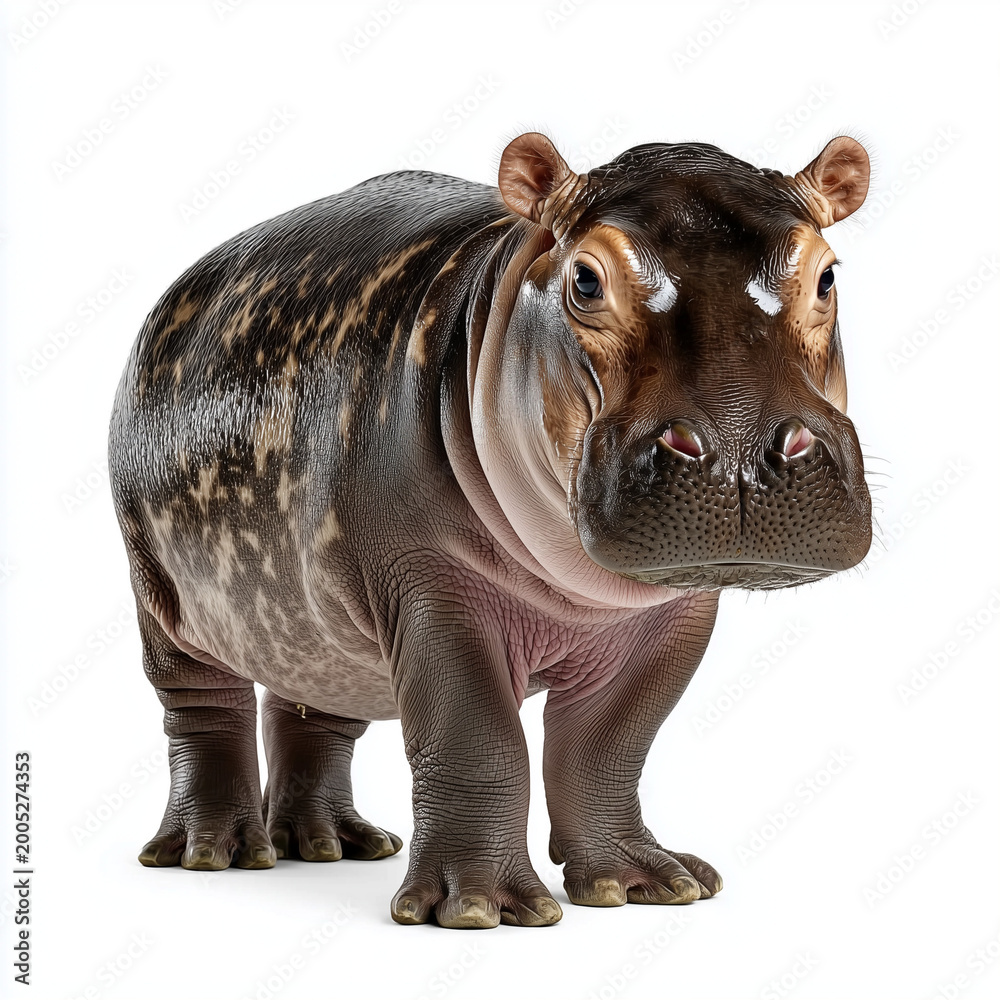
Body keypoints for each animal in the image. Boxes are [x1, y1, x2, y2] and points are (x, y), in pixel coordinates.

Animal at [108, 130, 872, 928]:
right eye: (586, 279)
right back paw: (215, 851)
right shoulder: (429, 583)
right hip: (159, 588)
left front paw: (644, 884)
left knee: (314, 707)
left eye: (827, 275)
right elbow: (476, 735)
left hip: (312, 624)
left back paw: (331, 843)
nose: (739, 453)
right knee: (200, 708)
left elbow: (610, 741)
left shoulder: (677, 612)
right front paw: (480, 908)